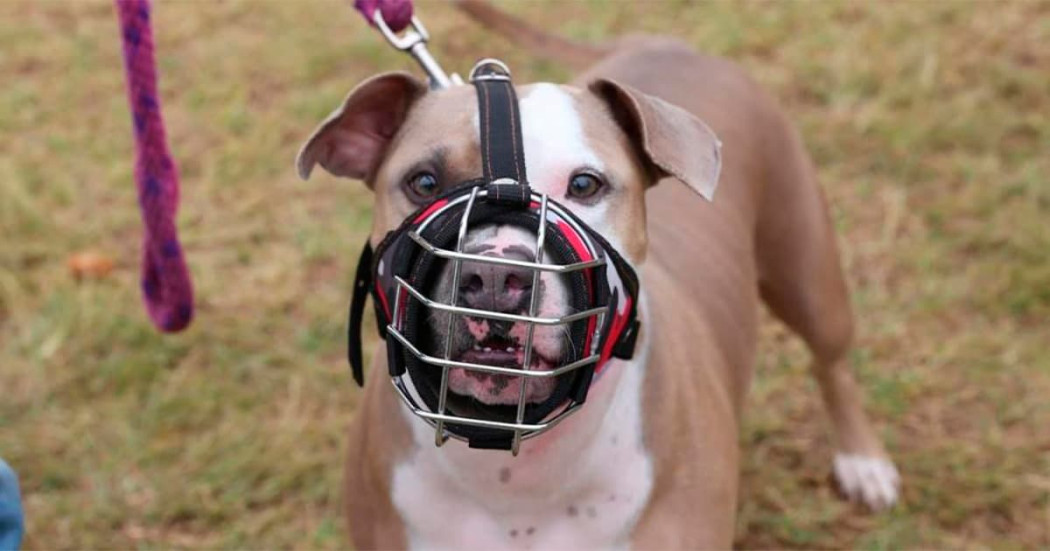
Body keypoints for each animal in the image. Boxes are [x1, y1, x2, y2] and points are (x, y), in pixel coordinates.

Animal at [294, 3, 894, 545]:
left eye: (585, 185)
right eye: (423, 182)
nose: (493, 277)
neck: (514, 475)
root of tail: (664, 42)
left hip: (807, 274)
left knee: (831, 363)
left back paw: (863, 461)